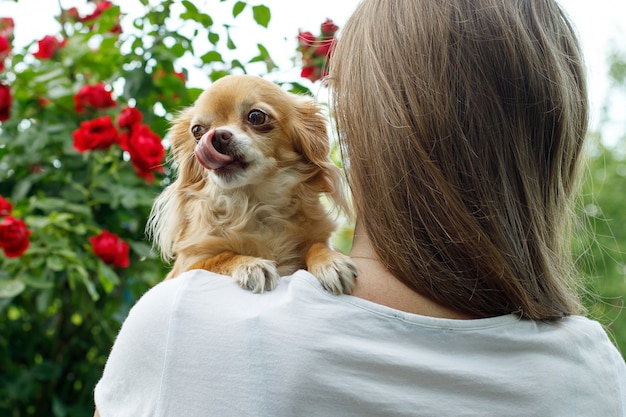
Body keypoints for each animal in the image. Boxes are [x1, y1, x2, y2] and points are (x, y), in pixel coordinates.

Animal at [146, 73, 356, 292]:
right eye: (197, 131)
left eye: (256, 117)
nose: (217, 137)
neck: (254, 202)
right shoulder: (186, 268)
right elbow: (220, 257)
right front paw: (251, 264)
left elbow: (317, 245)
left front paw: (330, 260)